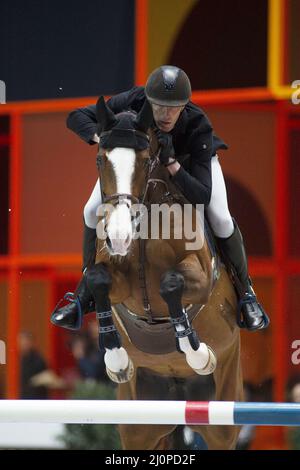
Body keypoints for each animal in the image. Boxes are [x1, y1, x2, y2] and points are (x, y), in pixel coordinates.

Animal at [84, 96, 244, 452]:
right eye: (100, 160)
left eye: (146, 162)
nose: (119, 237)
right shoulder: (117, 283)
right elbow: (97, 280)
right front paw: (117, 360)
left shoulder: (200, 278)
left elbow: (171, 285)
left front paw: (197, 352)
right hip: (140, 425)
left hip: (222, 416)